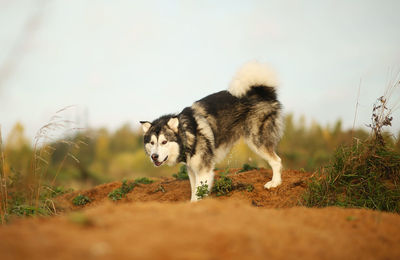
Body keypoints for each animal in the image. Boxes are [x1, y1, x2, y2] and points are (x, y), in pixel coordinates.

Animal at [141, 62, 284, 202]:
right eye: (152, 143)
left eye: (164, 142)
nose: (154, 156)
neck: (188, 134)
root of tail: (263, 92)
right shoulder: (192, 170)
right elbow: (194, 193)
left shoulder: (204, 170)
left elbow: (198, 194)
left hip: (256, 140)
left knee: (276, 160)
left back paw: (274, 183)